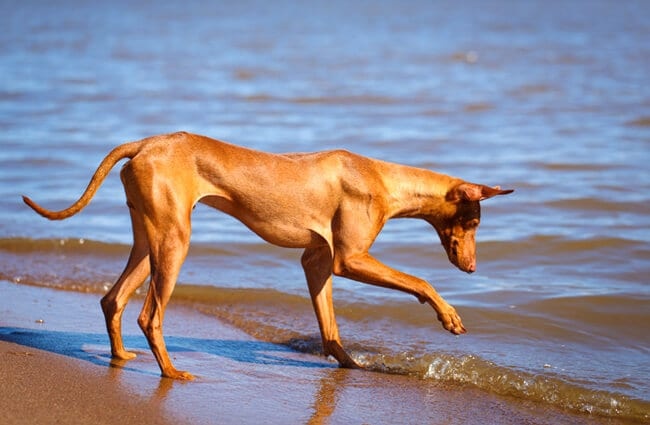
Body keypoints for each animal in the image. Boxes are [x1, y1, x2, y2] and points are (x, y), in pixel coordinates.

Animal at [24, 132, 512, 378]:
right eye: (474, 223)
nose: (472, 267)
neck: (381, 177)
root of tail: (145, 143)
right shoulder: (348, 260)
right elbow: (420, 281)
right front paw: (448, 315)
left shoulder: (316, 262)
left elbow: (330, 330)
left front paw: (352, 366)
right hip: (174, 242)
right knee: (150, 315)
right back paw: (172, 373)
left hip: (150, 240)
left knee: (113, 299)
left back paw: (122, 357)